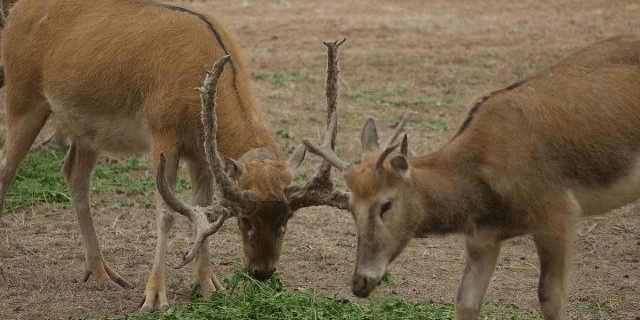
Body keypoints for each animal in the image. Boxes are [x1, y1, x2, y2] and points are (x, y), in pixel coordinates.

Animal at [0, 0, 348, 314]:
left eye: (287, 217)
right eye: (245, 219)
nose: (262, 271)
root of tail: (15, 13)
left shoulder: (203, 154)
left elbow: (203, 209)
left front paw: (208, 286)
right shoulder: (162, 132)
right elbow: (166, 212)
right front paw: (153, 298)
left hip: (87, 128)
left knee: (74, 174)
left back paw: (103, 274)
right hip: (23, 96)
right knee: (7, 168)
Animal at [302, 33, 640, 318]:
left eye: (386, 204)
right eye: (350, 207)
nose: (359, 282)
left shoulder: (558, 212)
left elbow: (550, 298)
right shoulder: (482, 237)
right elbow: (465, 299)